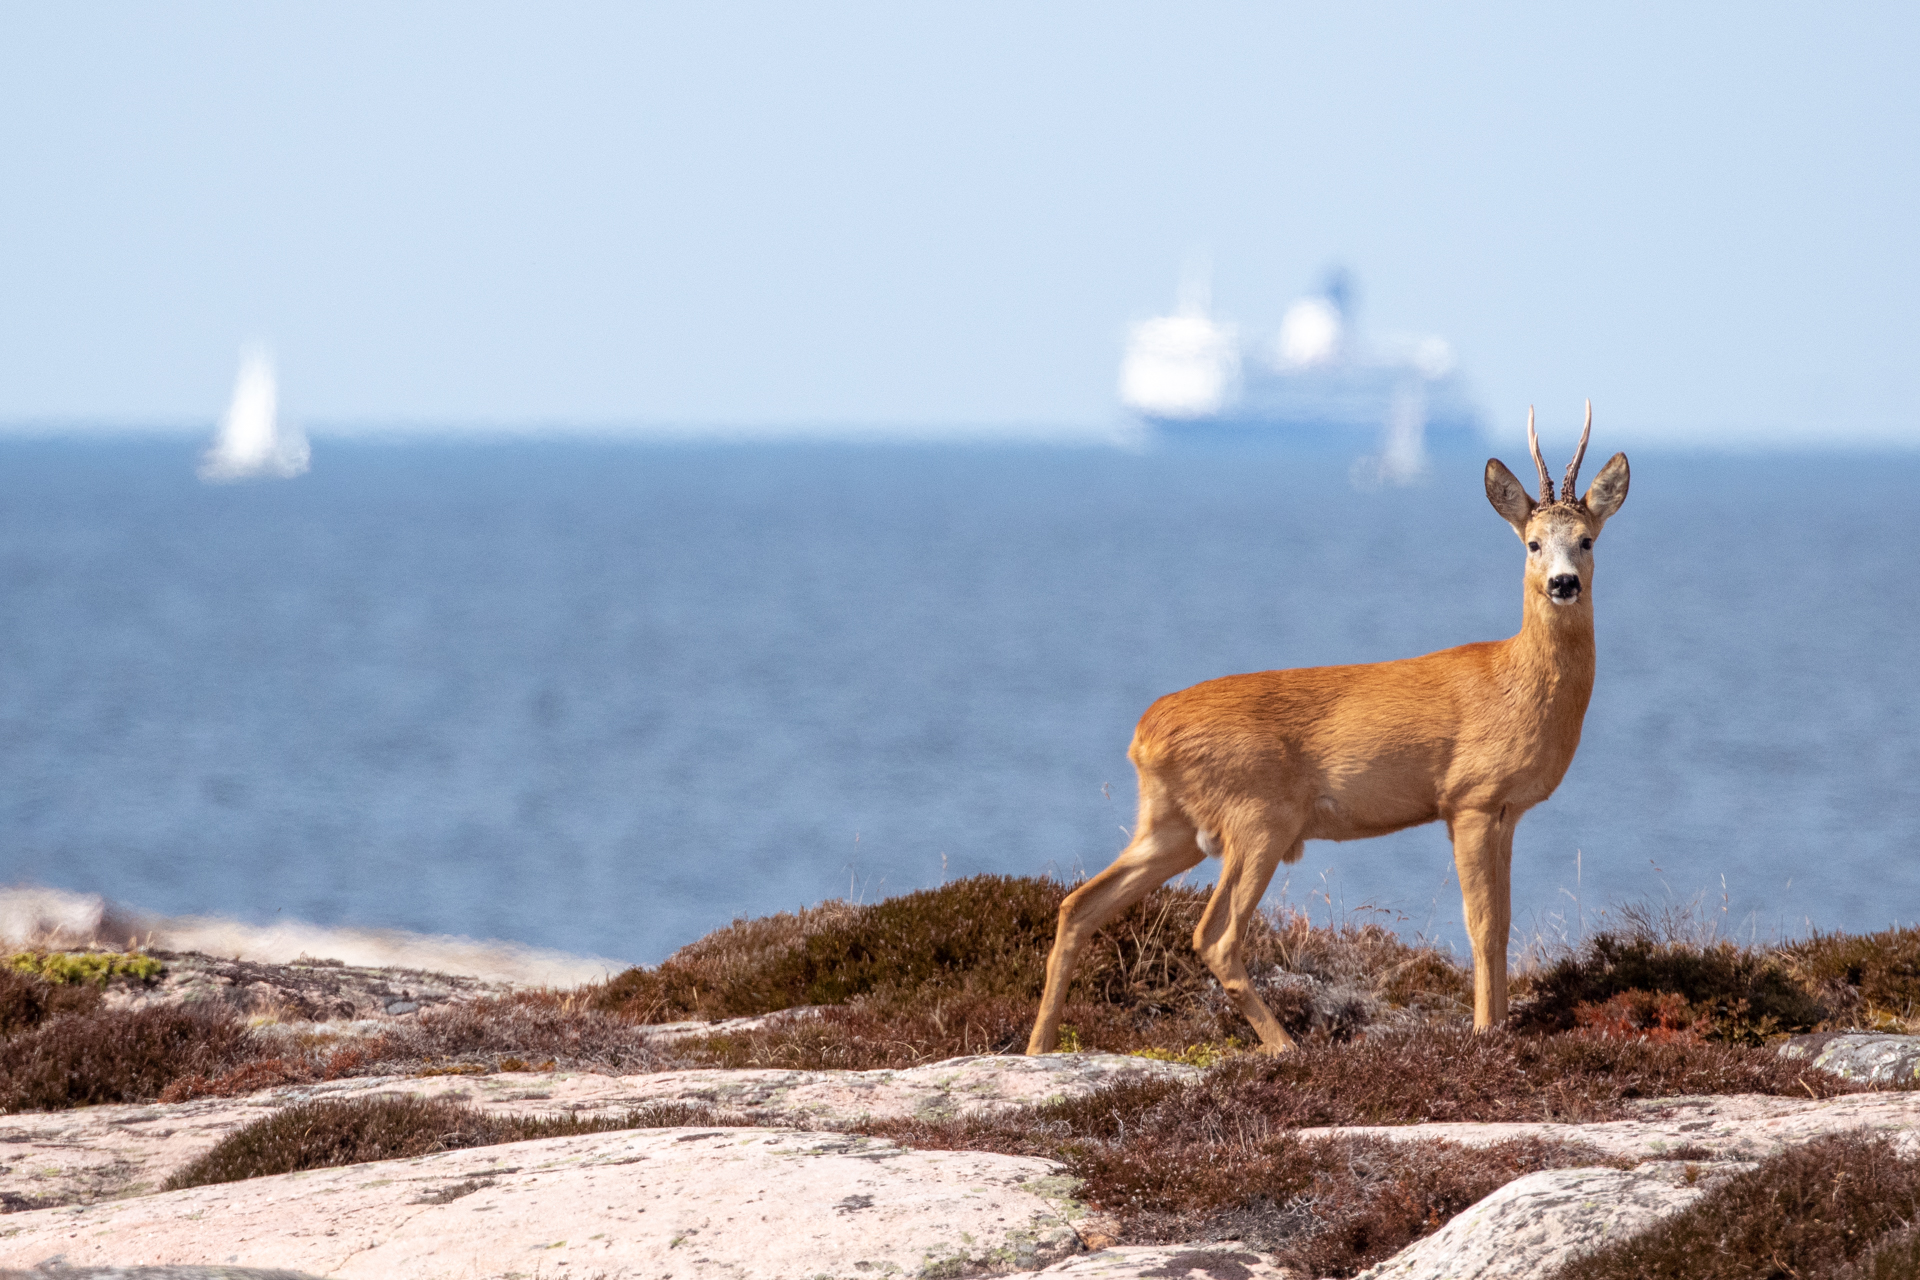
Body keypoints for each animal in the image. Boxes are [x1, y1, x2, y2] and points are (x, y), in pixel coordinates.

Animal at [1029, 408, 1628, 1051]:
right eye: (1532, 543)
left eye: (1587, 539)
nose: (1563, 583)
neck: (1514, 681)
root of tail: (1143, 735)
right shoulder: (1469, 797)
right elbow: (1483, 923)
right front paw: (1486, 1033)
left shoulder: (1507, 811)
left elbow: (1506, 921)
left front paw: (1499, 1028)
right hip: (1258, 816)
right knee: (1213, 936)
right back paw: (1286, 1048)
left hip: (1172, 825)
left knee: (1079, 905)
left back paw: (1040, 1046)